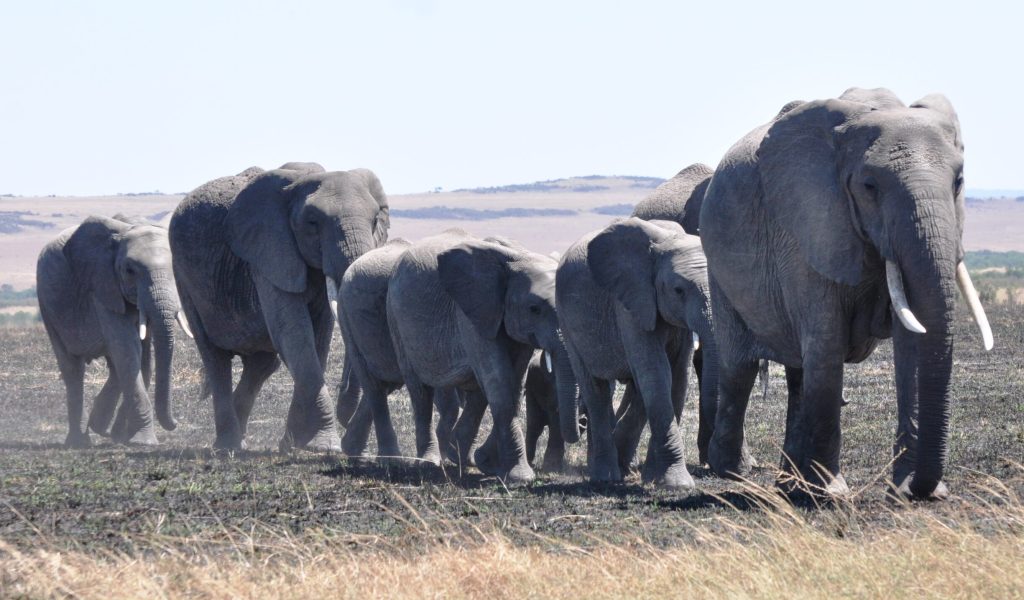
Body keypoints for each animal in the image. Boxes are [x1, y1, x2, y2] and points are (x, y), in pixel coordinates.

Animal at [37, 215, 192, 447]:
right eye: (129, 271)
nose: (176, 423)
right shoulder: (103, 288)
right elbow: (127, 349)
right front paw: (144, 442)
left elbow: (140, 358)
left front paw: (124, 436)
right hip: (48, 306)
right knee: (73, 369)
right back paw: (80, 442)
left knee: (119, 365)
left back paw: (101, 427)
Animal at [169, 162, 389, 451]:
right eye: (312, 223)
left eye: (375, 221)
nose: (346, 416)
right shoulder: (269, 253)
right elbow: (294, 334)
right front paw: (324, 446)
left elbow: (318, 339)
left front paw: (294, 445)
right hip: (185, 279)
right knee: (216, 359)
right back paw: (228, 446)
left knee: (261, 365)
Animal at [387, 230, 579, 483]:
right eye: (534, 309)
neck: (520, 257)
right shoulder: (472, 314)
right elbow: (500, 384)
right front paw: (519, 477)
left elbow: (513, 385)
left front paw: (489, 464)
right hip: (396, 319)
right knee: (420, 392)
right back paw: (429, 462)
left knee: (478, 392)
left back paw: (461, 456)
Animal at [556, 217, 718, 488]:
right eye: (678, 290)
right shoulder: (630, 303)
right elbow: (656, 371)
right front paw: (677, 484)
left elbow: (678, 375)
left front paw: (656, 477)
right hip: (567, 323)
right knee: (596, 390)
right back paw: (606, 476)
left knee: (634, 388)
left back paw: (622, 463)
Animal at [699, 87, 993, 499]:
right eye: (869, 187)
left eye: (959, 181)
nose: (922, 491)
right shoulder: (808, 226)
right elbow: (827, 340)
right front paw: (833, 494)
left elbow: (912, 345)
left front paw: (908, 492)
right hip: (717, 262)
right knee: (740, 366)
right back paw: (734, 471)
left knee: (798, 373)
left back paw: (790, 485)